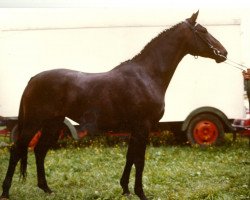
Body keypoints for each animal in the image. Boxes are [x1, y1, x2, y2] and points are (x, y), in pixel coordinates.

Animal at [0, 11, 227, 200]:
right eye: (203, 31)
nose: (224, 53)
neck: (147, 75)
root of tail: (33, 79)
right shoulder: (143, 126)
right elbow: (140, 160)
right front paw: (141, 193)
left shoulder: (135, 128)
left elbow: (130, 157)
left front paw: (125, 189)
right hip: (33, 123)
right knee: (17, 150)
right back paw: (6, 192)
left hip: (52, 124)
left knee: (39, 151)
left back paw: (46, 188)